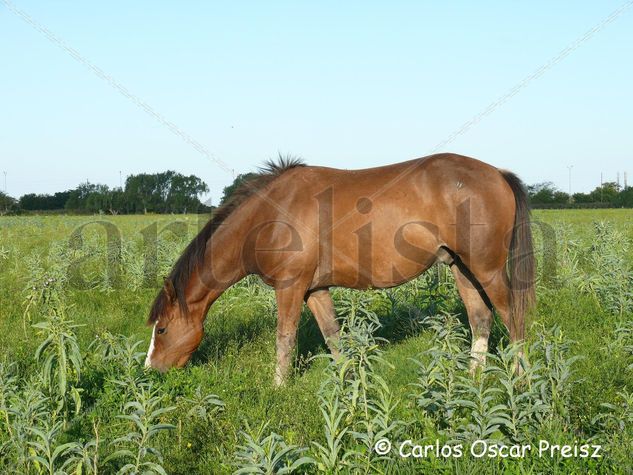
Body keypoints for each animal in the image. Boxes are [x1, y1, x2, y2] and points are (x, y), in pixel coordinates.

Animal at [146, 154, 536, 384]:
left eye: (162, 329)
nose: (150, 370)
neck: (270, 214)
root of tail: (497, 173)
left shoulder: (290, 287)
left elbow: (285, 339)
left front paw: (278, 387)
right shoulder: (315, 290)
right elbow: (333, 337)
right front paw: (347, 383)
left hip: (486, 270)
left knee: (512, 318)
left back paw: (520, 378)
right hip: (461, 268)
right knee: (481, 318)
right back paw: (473, 378)